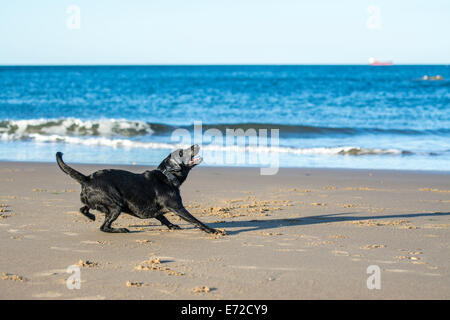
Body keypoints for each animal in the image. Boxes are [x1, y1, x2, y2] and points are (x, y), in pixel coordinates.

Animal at [56, 146, 218, 234]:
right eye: (180, 153)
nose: (195, 144)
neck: (167, 176)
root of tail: (87, 178)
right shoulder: (177, 207)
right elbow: (195, 220)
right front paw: (212, 230)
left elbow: (162, 217)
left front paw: (172, 225)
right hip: (115, 205)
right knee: (104, 227)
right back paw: (121, 230)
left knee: (83, 208)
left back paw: (91, 216)